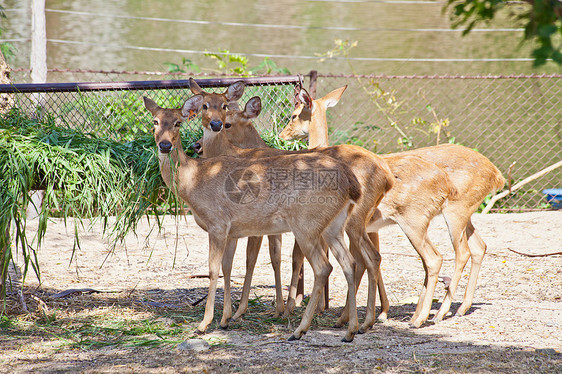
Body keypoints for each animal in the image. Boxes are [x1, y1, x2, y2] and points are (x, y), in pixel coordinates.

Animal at [141, 93, 364, 342]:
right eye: (154, 121)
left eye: (178, 122)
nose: (165, 145)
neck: (192, 179)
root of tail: (350, 182)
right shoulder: (232, 231)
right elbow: (227, 267)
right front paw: (225, 319)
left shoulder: (217, 222)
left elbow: (213, 269)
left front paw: (204, 324)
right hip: (333, 225)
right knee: (349, 263)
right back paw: (350, 330)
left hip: (306, 223)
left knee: (324, 267)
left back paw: (300, 330)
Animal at [278, 83, 500, 326]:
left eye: (294, 114)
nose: (282, 134)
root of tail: (496, 175)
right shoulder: (370, 228)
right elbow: (373, 261)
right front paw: (381, 312)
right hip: (462, 215)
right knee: (477, 247)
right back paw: (452, 309)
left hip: (443, 215)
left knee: (451, 255)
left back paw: (431, 315)